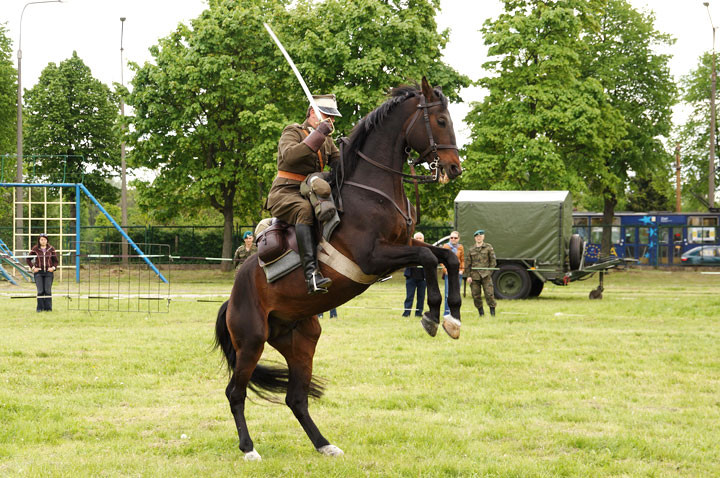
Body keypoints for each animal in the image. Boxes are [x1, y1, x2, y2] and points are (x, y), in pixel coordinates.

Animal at [214, 76, 462, 462]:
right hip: (251, 342)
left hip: (301, 341)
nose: (454, 168)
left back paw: (323, 444)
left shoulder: (402, 245)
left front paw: (453, 317)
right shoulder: (374, 258)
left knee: (296, 398)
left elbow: (444, 258)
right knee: (235, 392)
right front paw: (433, 315)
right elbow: (428, 258)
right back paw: (248, 448)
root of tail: (233, 296)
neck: (373, 190)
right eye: (439, 120)